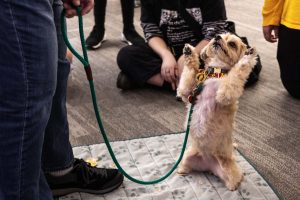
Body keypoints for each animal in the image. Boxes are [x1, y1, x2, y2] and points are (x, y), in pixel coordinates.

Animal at [176, 32, 258, 191]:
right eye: (217, 35)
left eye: (232, 44)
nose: (217, 37)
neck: (216, 73)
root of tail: (209, 165)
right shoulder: (188, 92)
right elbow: (189, 73)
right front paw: (189, 53)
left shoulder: (226, 93)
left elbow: (237, 72)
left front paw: (248, 56)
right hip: (187, 156)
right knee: (185, 166)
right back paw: (181, 171)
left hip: (230, 170)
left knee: (235, 179)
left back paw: (235, 185)